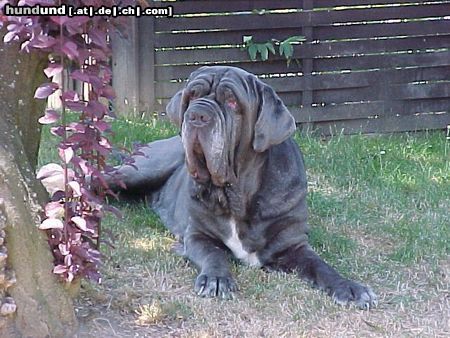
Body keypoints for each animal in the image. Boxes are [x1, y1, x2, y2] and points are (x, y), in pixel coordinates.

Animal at [107, 66, 378, 308]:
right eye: (191, 96)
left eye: (232, 102)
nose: (196, 115)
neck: (238, 196)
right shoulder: (197, 235)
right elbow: (213, 254)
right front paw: (216, 279)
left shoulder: (294, 244)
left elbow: (320, 265)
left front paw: (350, 288)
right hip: (138, 171)